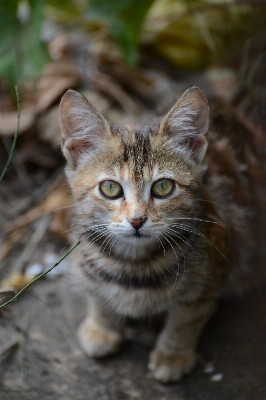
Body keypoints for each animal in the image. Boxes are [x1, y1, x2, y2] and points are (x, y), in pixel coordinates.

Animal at [59, 86, 260, 382]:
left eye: (163, 187)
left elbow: (187, 318)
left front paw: (173, 354)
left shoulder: (212, 273)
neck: (133, 265)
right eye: (110, 188)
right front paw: (101, 327)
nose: (137, 220)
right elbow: (98, 294)